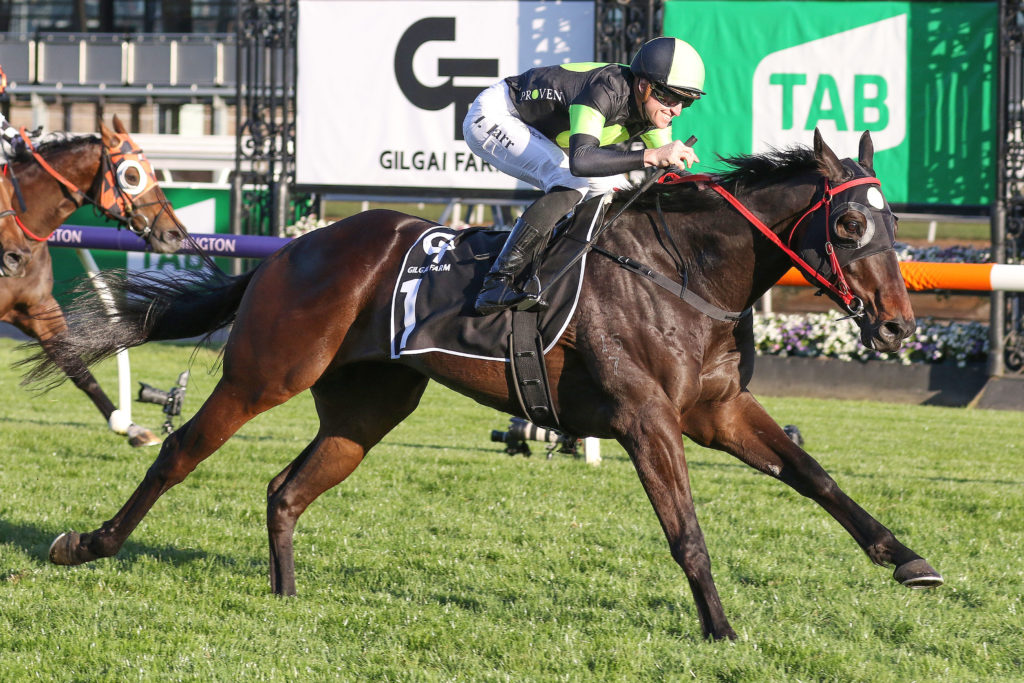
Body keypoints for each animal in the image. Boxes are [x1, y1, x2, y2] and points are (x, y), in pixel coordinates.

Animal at [33, 130, 942, 640]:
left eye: (894, 221)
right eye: (850, 223)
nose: (900, 326)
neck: (683, 269)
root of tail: (293, 248)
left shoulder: (717, 409)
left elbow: (815, 475)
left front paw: (909, 559)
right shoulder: (648, 417)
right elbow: (687, 530)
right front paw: (719, 628)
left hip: (366, 408)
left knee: (285, 487)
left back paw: (286, 598)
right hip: (268, 370)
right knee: (180, 452)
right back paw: (88, 541)